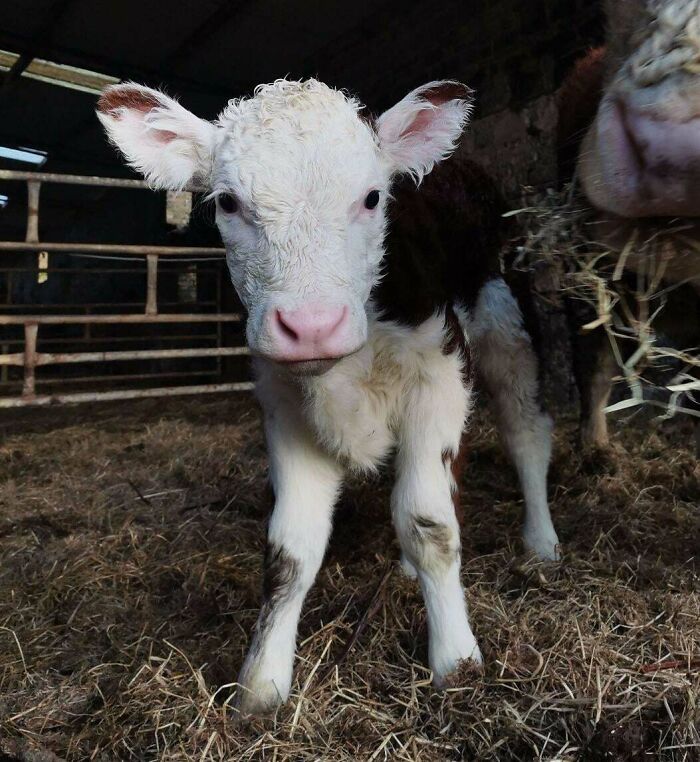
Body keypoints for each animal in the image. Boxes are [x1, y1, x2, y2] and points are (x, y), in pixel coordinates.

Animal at [96, 78, 560, 715]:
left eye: (372, 197)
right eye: (228, 203)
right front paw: (261, 684)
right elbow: (290, 551)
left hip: (507, 325)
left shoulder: (439, 374)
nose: (312, 326)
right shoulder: (284, 408)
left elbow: (429, 524)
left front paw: (457, 661)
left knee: (525, 432)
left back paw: (541, 542)